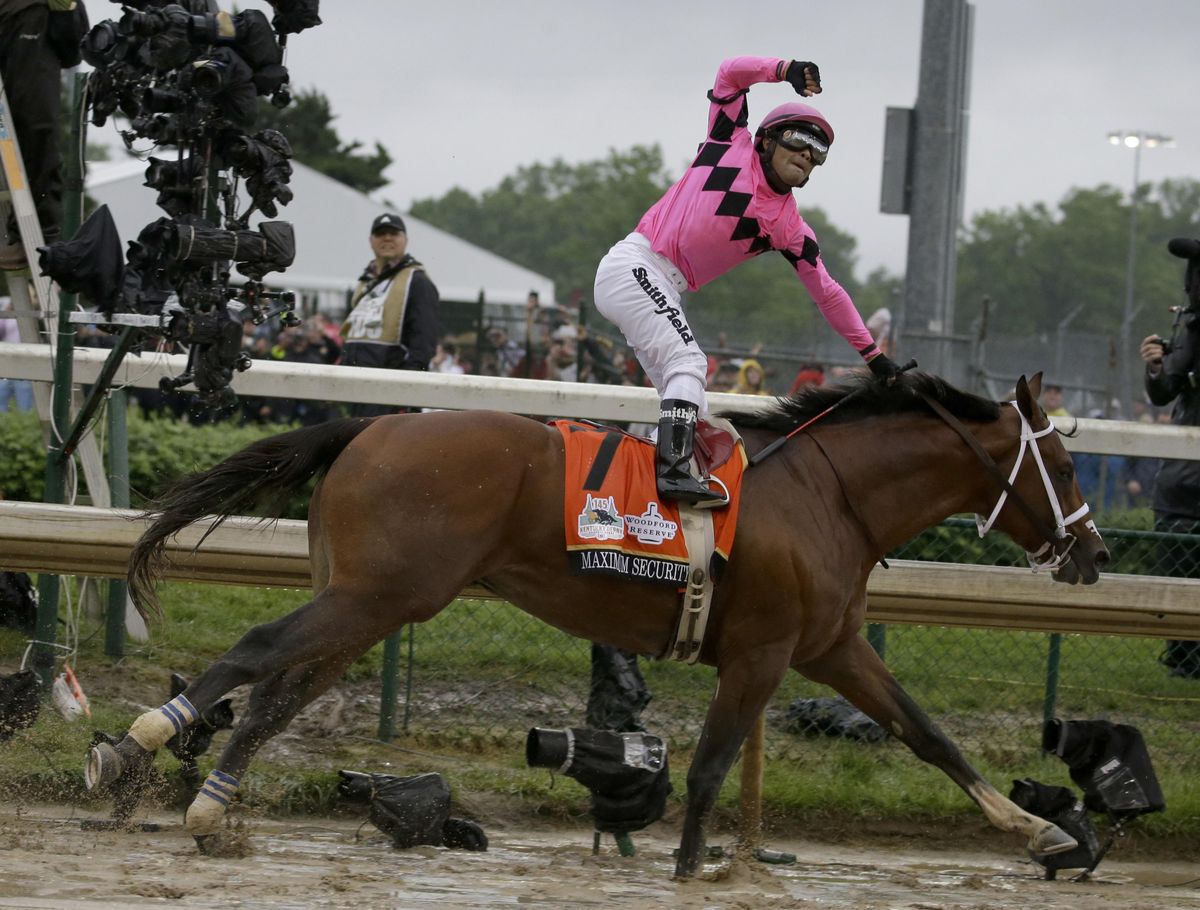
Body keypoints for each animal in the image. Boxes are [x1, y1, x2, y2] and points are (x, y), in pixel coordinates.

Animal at [91, 369, 1104, 878]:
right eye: (1061, 460)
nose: (1091, 555)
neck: (830, 494)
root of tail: (368, 428)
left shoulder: (832, 646)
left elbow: (929, 734)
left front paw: (1043, 833)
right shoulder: (764, 651)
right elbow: (711, 762)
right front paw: (693, 866)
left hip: (372, 601)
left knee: (281, 695)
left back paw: (213, 810)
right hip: (377, 595)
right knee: (259, 654)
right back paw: (133, 748)